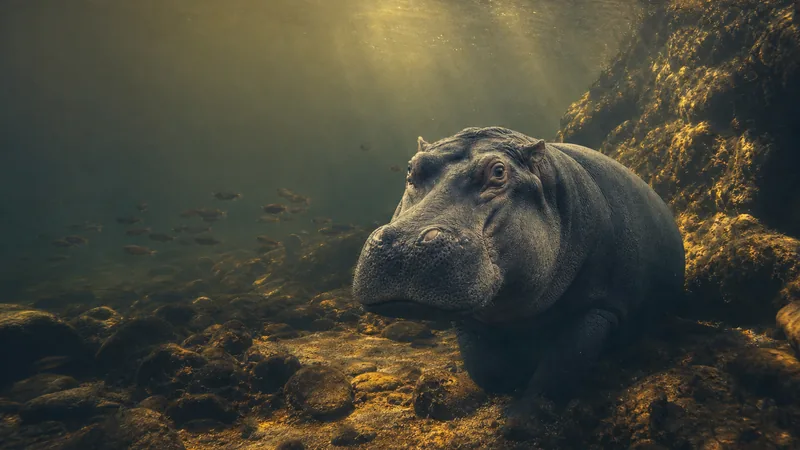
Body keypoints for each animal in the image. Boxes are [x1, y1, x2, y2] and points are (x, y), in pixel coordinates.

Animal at [352, 127, 685, 409]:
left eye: (499, 171)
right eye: (412, 168)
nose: (404, 245)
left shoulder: (600, 307)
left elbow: (559, 368)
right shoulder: (473, 317)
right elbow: (487, 371)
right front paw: (513, 376)